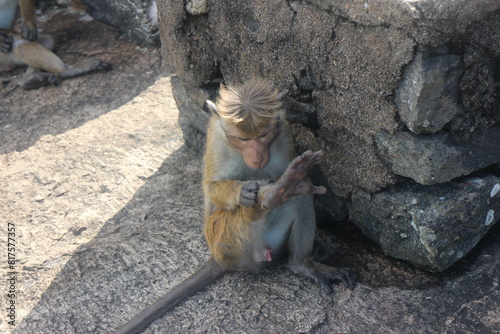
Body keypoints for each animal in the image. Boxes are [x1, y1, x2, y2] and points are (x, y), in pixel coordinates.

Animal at [114, 79, 356, 334]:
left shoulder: (285, 134)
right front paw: (243, 191)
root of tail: (218, 259)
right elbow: (211, 188)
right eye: (244, 140)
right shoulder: (216, 142)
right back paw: (275, 194)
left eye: (264, 135)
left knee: (301, 197)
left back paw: (301, 260)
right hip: (227, 243)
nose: (257, 158)